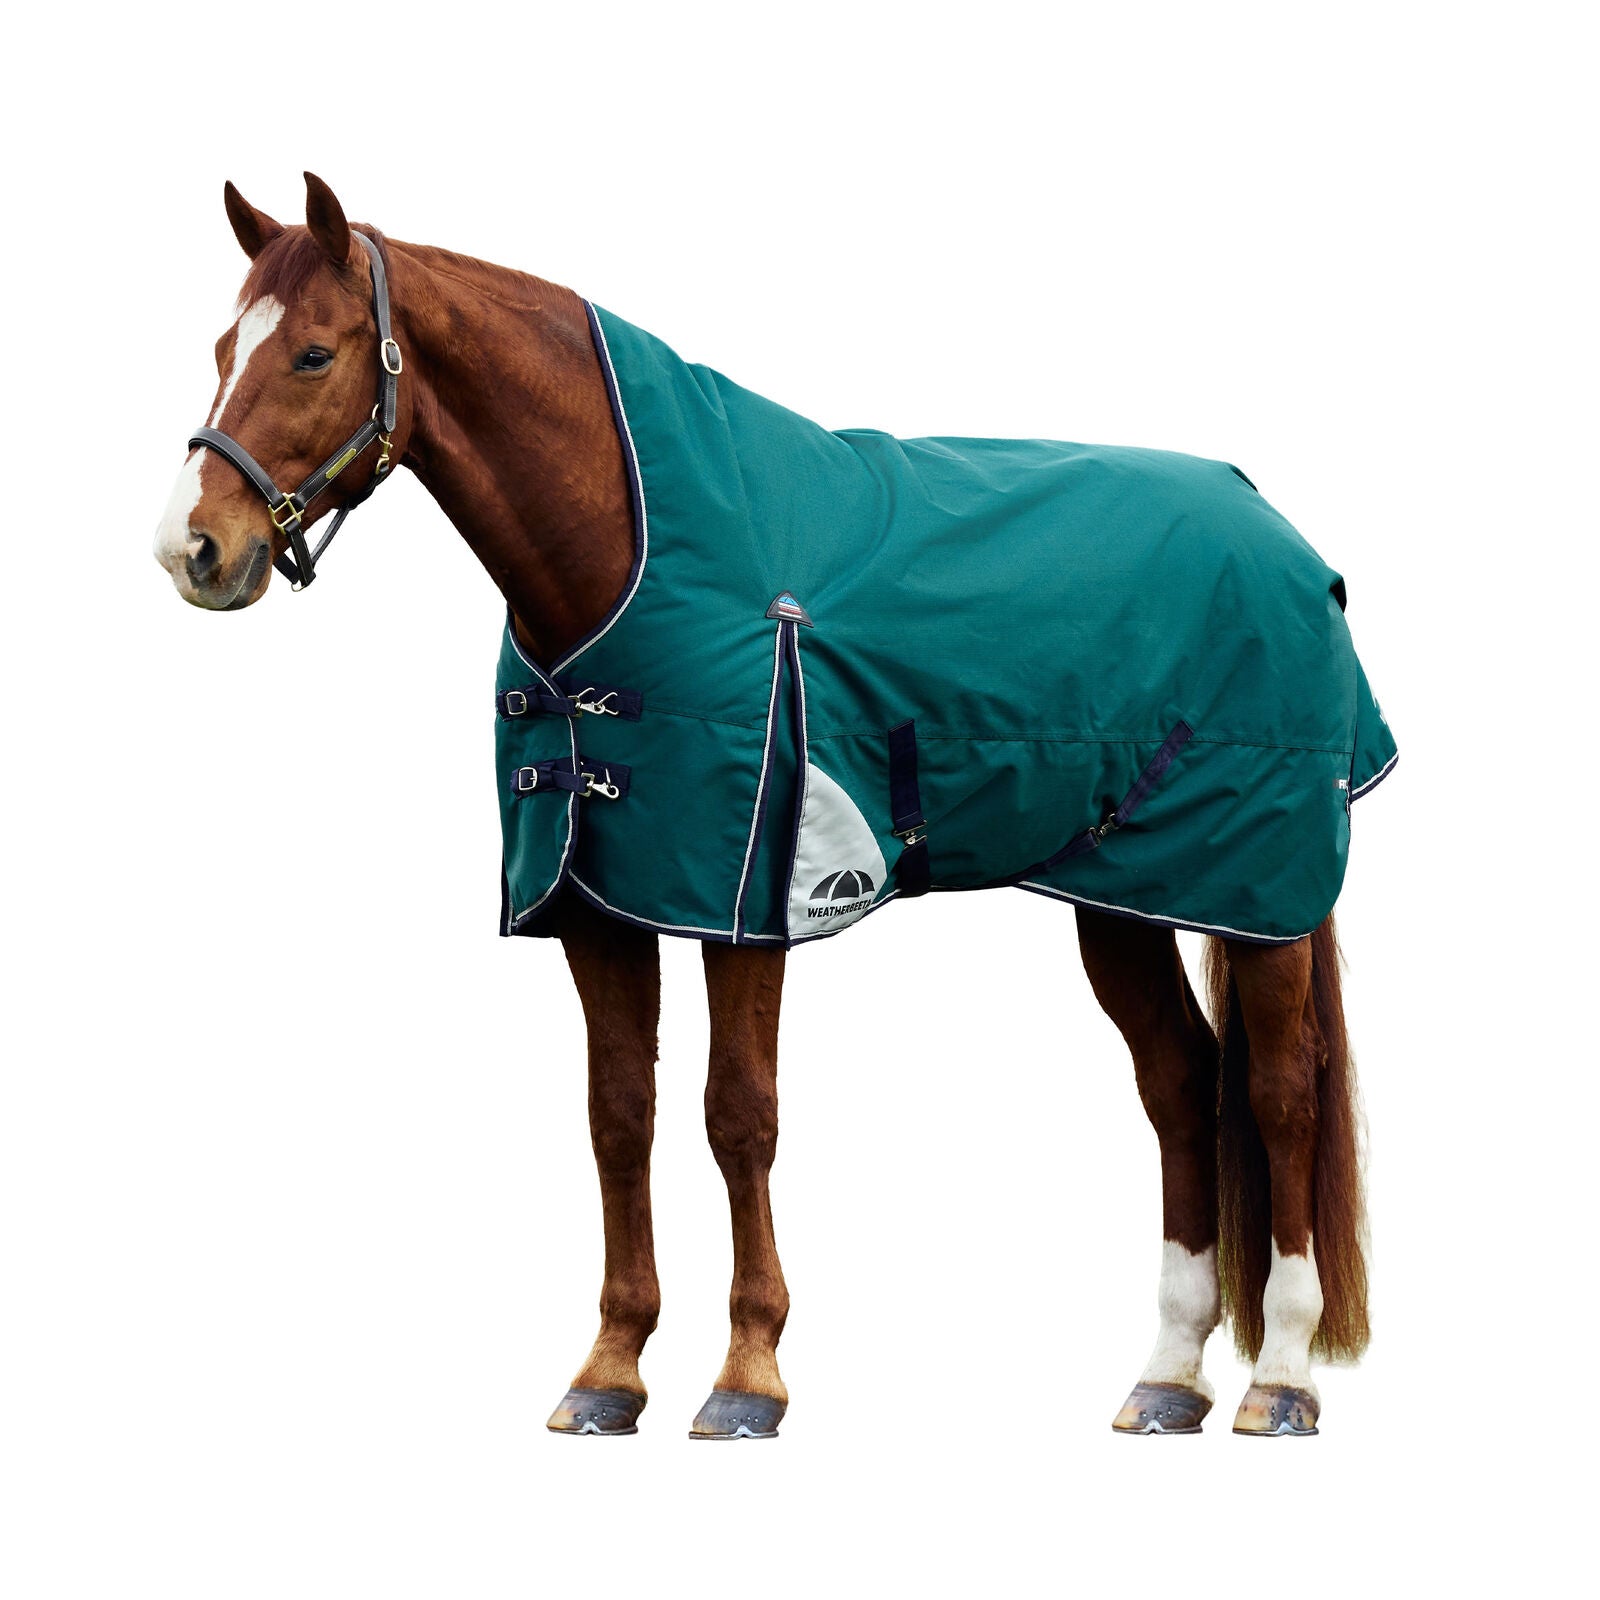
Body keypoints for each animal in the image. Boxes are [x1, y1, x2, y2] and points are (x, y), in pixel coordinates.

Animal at [154, 174, 1386, 1440]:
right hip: (1125, 891)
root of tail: (1281, 534)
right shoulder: (600, 902)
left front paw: (747, 1373)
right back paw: (1168, 1375)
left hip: (1262, 890)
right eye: (221, 349)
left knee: (1280, 1091)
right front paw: (610, 1370)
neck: (629, 546)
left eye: (312, 353)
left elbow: (737, 1113)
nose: (193, 549)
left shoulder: (744, 897)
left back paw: (1280, 1377)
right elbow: (619, 1115)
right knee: (1181, 1083)